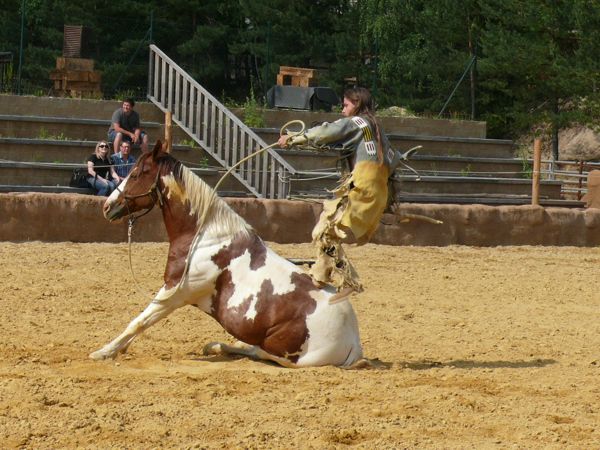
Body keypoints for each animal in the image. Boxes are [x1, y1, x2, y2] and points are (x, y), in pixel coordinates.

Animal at [87, 141, 364, 370]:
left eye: (135, 174)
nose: (107, 206)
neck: (205, 236)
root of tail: (353, 343)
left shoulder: (175, 293)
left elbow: (139, 321)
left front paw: (104, 352)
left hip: (283, 353)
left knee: (260, 352)